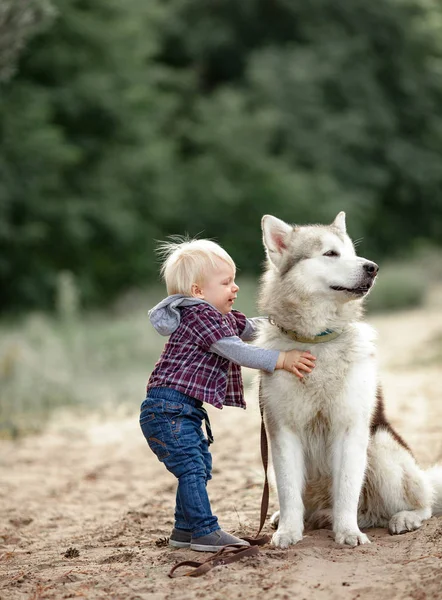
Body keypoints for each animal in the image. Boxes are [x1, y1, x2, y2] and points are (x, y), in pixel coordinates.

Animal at [256, 213, 442, 548]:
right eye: (330, 253)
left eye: (353, 253)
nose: (372, 267)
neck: (316, 341)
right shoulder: (283, 432)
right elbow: (289, 493)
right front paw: (288, 531)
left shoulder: (350, 429)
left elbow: (346, 490)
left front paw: (347, 532)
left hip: (380, 446)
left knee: (423, 503)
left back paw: (403, 518)